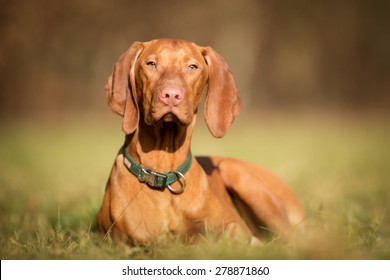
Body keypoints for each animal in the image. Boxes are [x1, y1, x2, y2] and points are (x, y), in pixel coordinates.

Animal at [97, 37, 304, 245]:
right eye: (151, 64)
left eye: (192, 67)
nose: (171, 95)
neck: (164, 173)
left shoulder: (236, 228)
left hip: (237, 174)